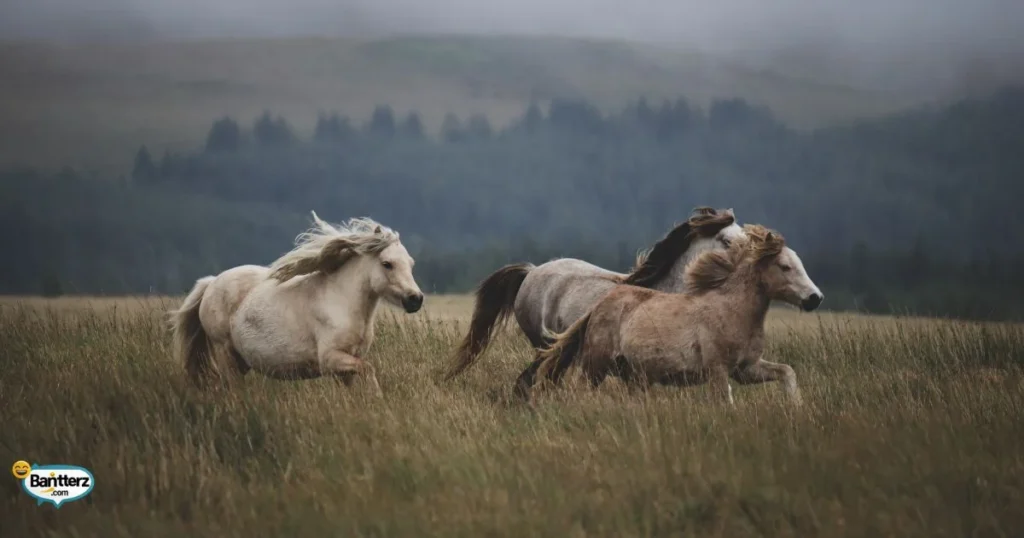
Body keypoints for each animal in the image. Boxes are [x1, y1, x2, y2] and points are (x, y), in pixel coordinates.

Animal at [169, 212, 424, 396]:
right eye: (387, 264)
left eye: (411, 263)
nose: (415, 299)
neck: (343, 303)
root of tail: (211, 283)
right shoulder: (330, 359)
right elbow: (369, 370)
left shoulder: (347, 365)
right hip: (225, 353)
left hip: (240, 361)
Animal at [518, 224, 823, 405]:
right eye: (785, 266)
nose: (815, 298)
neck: (731, 310)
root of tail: (599, 306)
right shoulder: (718, 370)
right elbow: (726, 401)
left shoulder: (746, 369)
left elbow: (787, 371)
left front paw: (796, 407)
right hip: (595, 364)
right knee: (576, 389)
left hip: (632, 375)